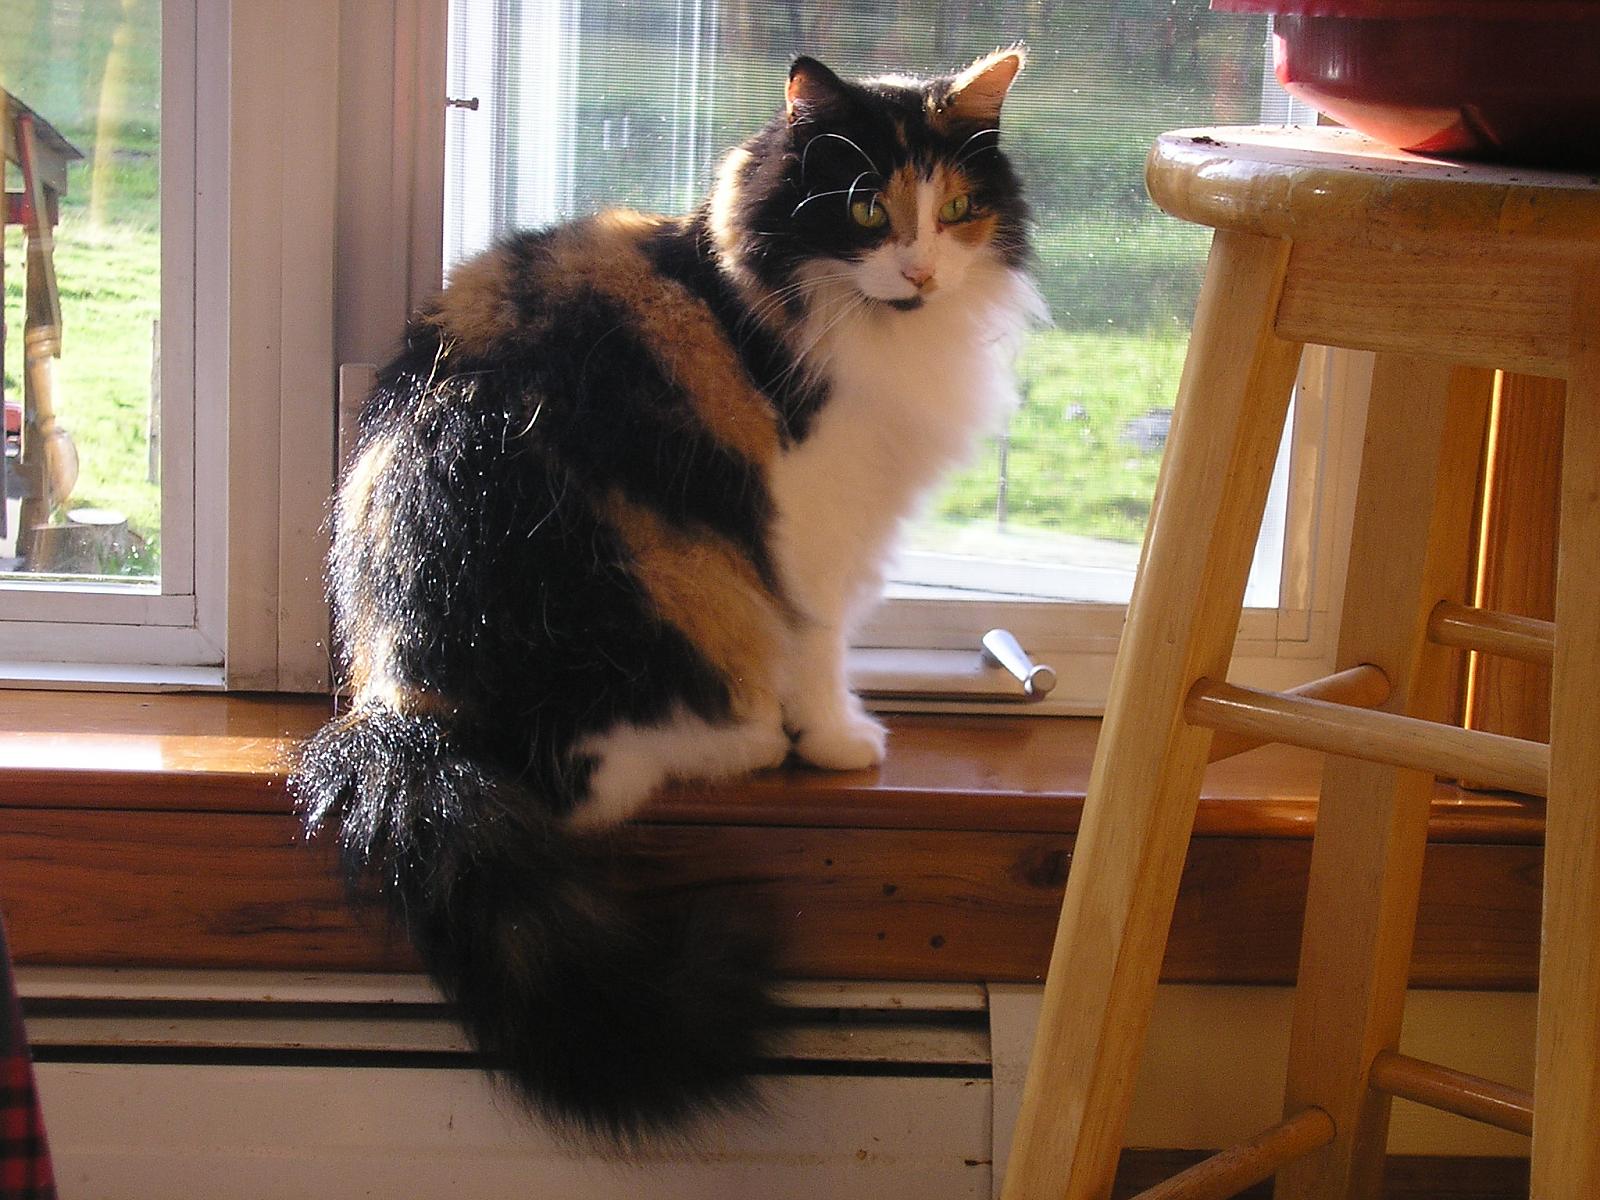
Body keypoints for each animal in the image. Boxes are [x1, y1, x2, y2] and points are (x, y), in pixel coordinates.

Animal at [291, 47, 1036, 1152]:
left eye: (956, 208)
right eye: (865, 208)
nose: (920, 272)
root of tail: (400, 708)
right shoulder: (811, 520)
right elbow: (821, 639)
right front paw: (836, 741)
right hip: (637, 569)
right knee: (590, 777)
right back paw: (749, 742)